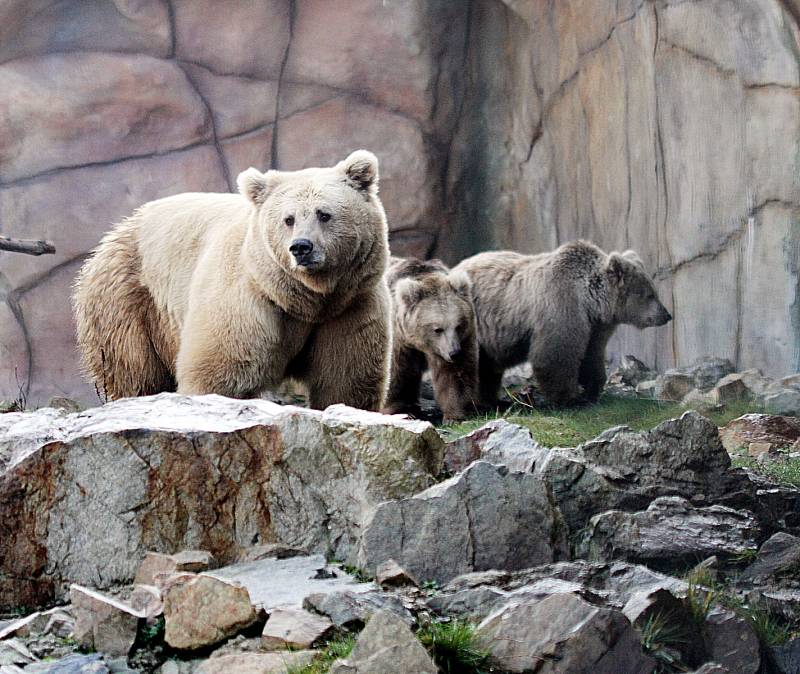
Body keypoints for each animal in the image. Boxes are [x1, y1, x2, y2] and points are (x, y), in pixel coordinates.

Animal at [73, 148, 392, 410]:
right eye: (288, 219)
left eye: (324, 214)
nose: (301, 247)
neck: (305, 300)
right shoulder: (247, 299)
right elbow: (222, 372)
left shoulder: (349, 307)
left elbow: (345, 381)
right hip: (129, 301)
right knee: (136, 372)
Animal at [384, 258, 478, 420]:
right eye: (438, 329)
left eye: (458, 325)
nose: (454, 352)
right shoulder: (398, 339)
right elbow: (396, 372)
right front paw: (399, 410)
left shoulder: (462, 339)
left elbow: (454, 374)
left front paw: (454, 415)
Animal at [454, 240, 672, 404]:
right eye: (649, 294)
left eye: (654, 291)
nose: (667, 315)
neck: (591, 303)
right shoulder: (561, 307)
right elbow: (555, 355)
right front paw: (569, 399)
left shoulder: (595, 327)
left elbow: (592, 355)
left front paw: (592, 389)